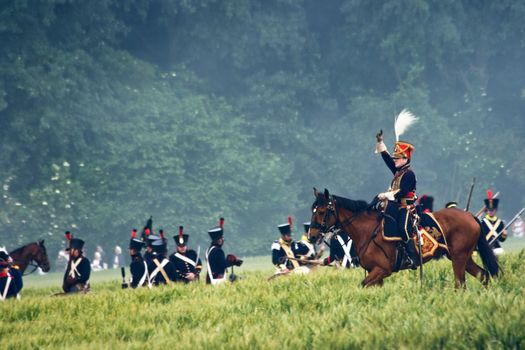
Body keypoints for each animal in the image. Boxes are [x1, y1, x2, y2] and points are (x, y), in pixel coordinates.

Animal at [310, 189, 498, 288]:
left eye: (321, 211)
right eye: (313, 210)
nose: (312, 236)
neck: (367, 230)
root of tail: (470, 216)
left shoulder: (382, 270)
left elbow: (362, 284)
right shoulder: (375, 273)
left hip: (459, 257)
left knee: (460, 284)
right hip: (462, 257)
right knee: (483, 275)